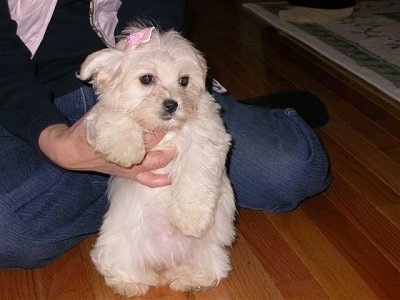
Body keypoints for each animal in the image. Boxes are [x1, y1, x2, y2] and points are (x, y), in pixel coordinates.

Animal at [77, 25, 238, 298]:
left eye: (184, 81)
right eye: (146, 79)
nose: (172, 104)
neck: (166, 130)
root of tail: (164, 262)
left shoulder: (207, 141)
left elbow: (195, 179)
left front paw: (190, 220)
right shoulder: (100, 116)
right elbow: (113, 115)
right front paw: (125, 148)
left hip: (210, 252)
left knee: (209, 269)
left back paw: (187, 279)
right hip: (116, 246)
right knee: (121, 266)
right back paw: (129, 284)